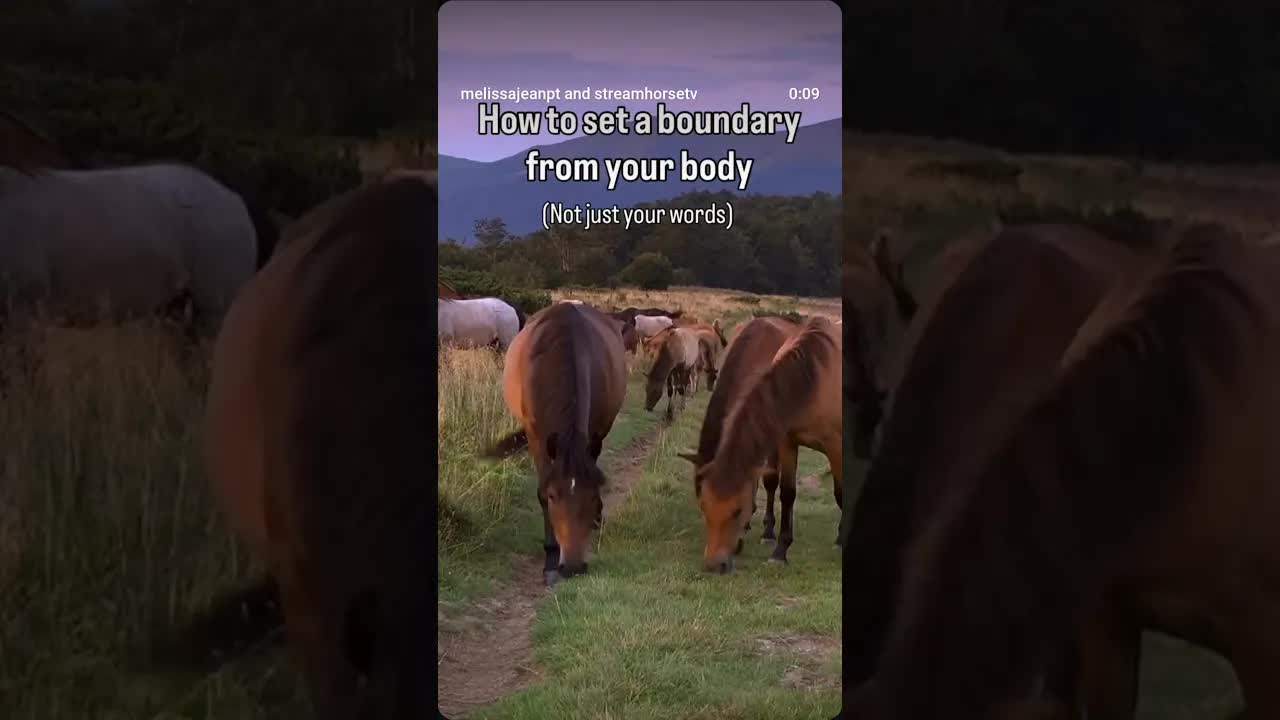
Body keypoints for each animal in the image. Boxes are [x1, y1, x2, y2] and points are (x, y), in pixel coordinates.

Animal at [485, 302, 628, 586]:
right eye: (553, 497)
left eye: (592, 495)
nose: (573, 567)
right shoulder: (537, 438)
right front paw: (550, 559)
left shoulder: (593, 432)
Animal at [682, 315, 842, 572]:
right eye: (703, 505)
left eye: (737, 510)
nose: (715, 564)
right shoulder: (785, 440)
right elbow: (786, 492)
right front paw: (779, 549)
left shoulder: (834, 445)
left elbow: (838, 492)